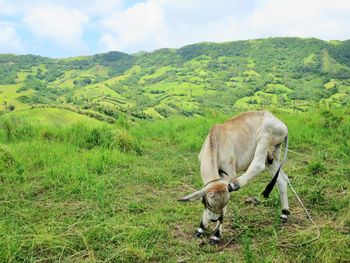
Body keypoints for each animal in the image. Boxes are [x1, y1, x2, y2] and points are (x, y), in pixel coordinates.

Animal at [179, 110, 288, 244]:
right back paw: (284, 213)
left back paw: (235, 184)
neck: (216, 139)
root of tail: (280, 122)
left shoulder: (228, 173)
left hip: (264, 139)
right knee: (282, 179)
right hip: (272, 158)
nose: (214, 219)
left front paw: (216, 235)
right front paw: (201, 229)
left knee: (258, 165)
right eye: (208, 203)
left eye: (224, 204)